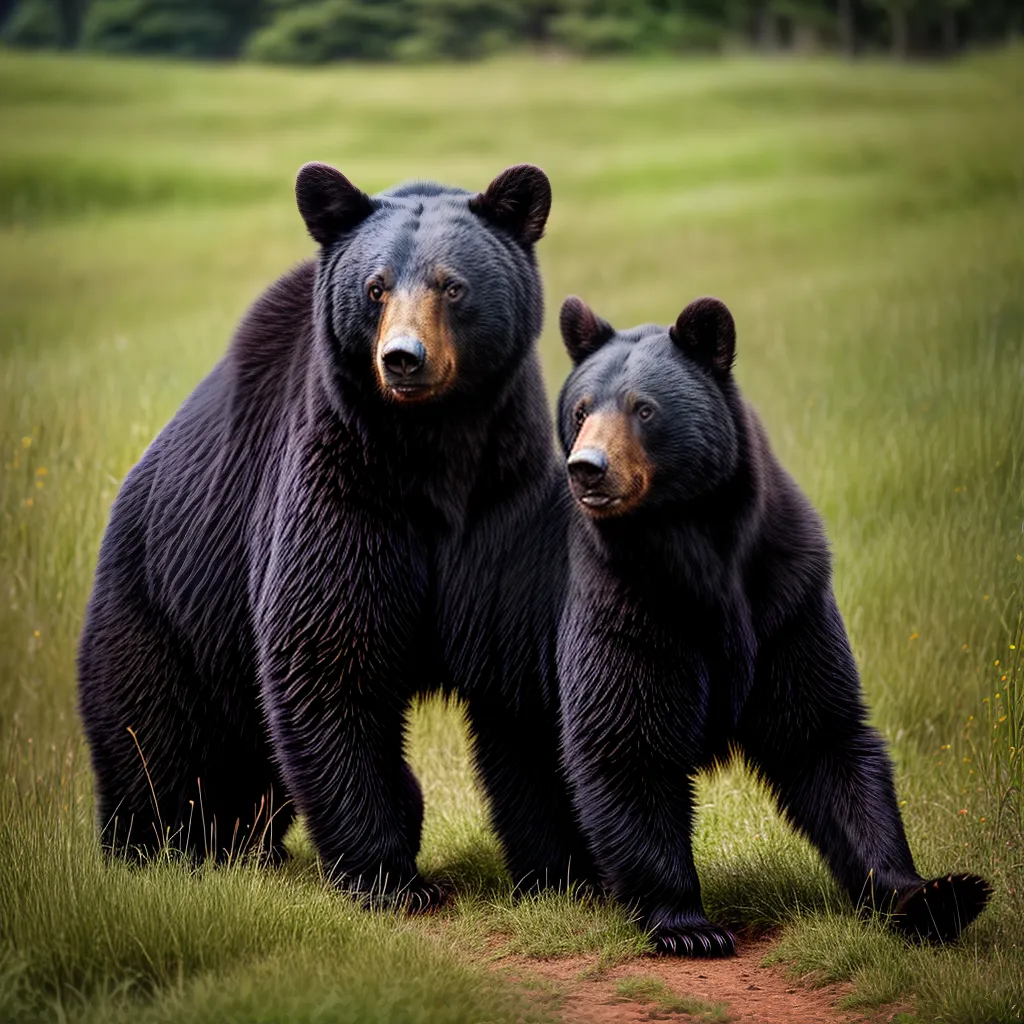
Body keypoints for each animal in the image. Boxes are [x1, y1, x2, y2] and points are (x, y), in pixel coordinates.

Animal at [77, 161, 595, 908]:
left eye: (452, 285)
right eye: (376, 287)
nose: (403, 358)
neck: (432, 451)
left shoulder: (505, 502)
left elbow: (521, 681)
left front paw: (567, 871)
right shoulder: (342, 490)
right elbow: (329, 657)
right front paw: (390, 875)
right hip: (163, 609)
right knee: (152, 739)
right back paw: (156, 847)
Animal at [554, 293, 991, 955]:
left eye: (644, 408)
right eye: (580, 410)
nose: (588, 468)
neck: (694, 544)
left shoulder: (786, 597)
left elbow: (820, 732)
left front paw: (937, 895)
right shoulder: (624, 603)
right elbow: (628, 739)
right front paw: (689, 926)